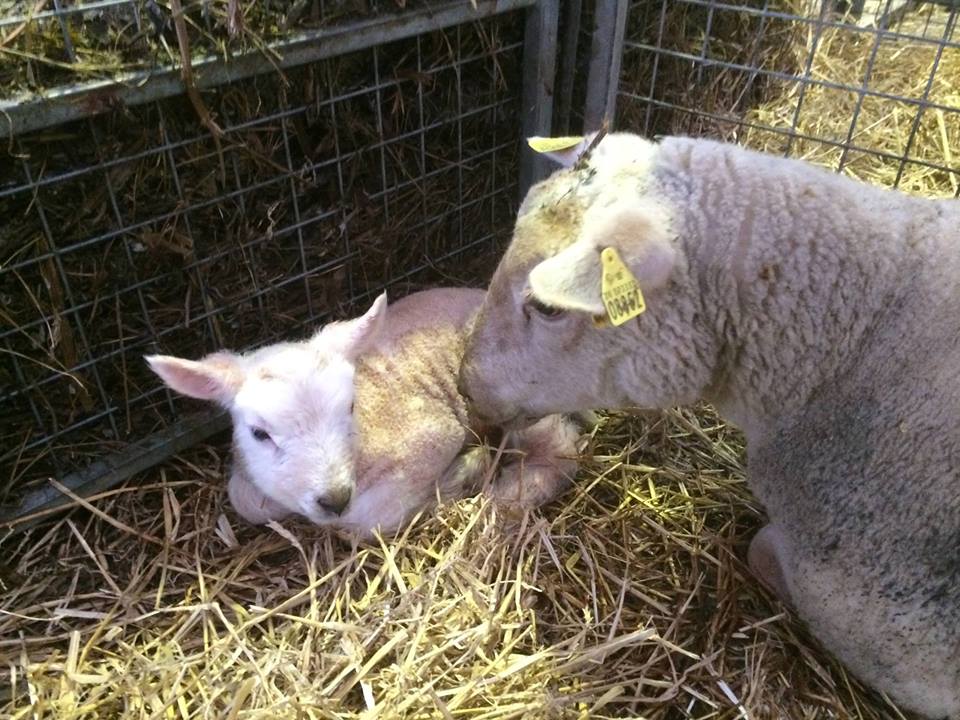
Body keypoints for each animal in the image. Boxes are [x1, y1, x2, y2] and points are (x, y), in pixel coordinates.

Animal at [147, 287, 582, 538]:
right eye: (259, 433)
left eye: (351, 407)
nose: (334, 498)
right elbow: (245, 499)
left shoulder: (433, 434)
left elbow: (366, 519)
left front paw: (464, 472)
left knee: (562, 448)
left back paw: (508, 490)